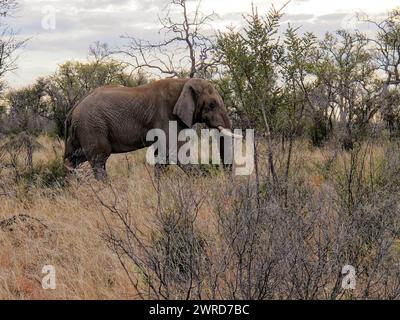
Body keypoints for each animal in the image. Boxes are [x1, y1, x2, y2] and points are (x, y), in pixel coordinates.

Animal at [63, 76, 236, 179]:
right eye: (212, 105)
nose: (226, 179)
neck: (183, 82)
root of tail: (74, 108)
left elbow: (161, 155)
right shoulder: (165, 115)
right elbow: (175, 152)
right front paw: (203, 182)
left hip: (81, 131)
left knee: (73, 159)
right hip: (92, 126)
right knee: (99, 159)